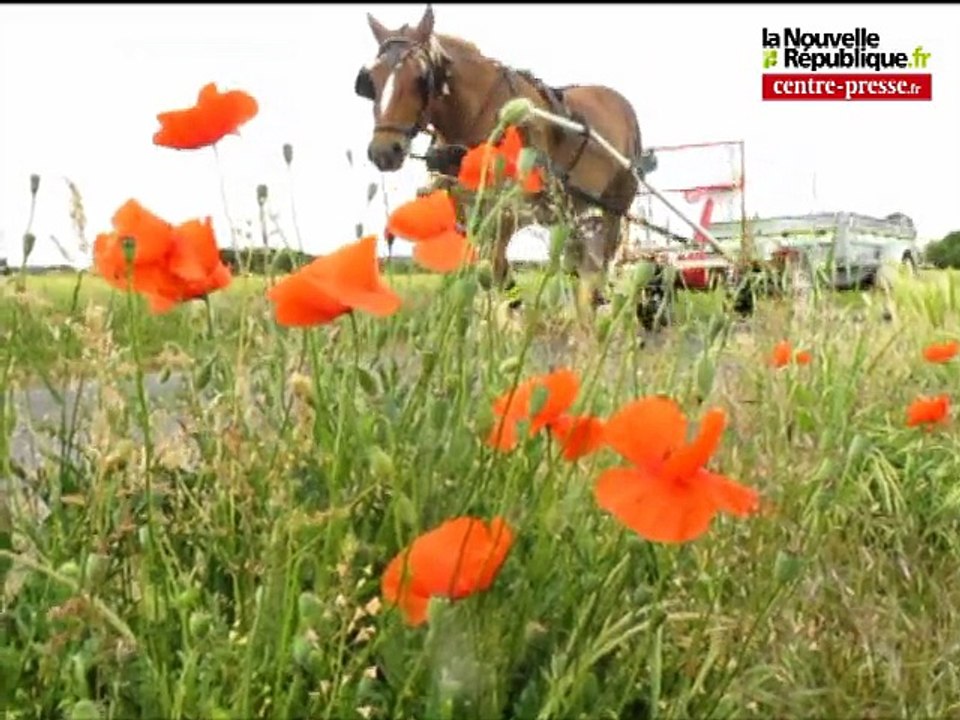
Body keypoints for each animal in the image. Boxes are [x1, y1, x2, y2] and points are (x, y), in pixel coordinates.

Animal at [354, 4, 650, 307]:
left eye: (420, 78)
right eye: (371, 81)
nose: (383, 151)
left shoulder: (506, 212)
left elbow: (497, 274)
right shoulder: (468, 216)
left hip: (616, 204)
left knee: (602, 261)